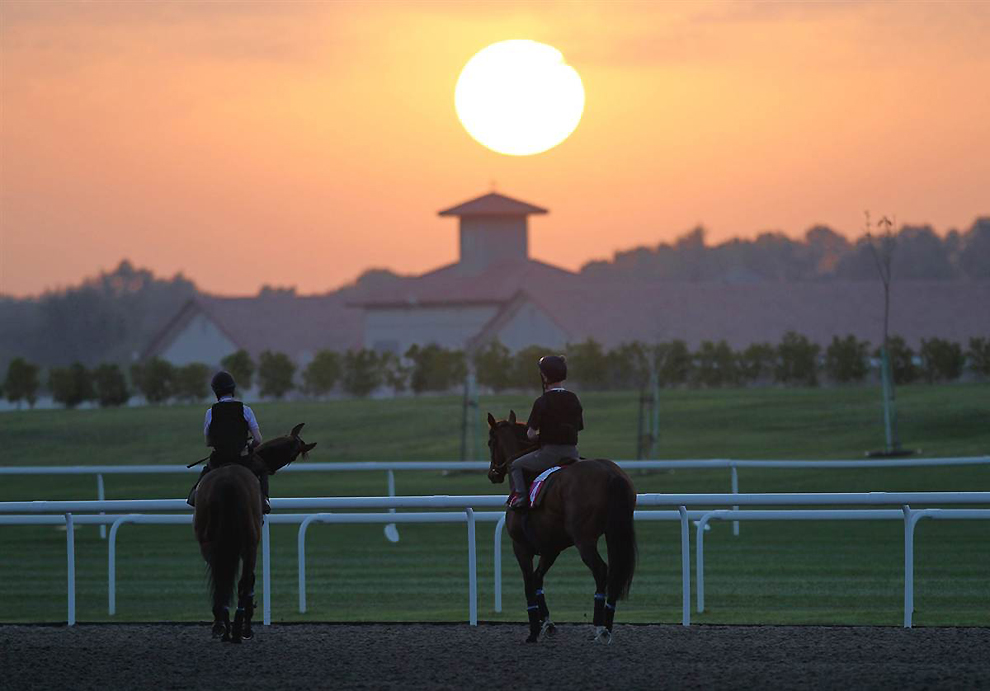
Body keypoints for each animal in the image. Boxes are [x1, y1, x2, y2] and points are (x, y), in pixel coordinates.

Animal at [194, 422, 318, 644]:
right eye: (296, 451)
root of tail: (228, 483)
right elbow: (249, 580)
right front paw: (245, 625)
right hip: (249, 540)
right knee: (244, 581)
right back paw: (238, 630)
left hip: (208, 541)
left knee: (220, 578)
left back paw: (221, 626)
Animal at [490, 410, 644, 644]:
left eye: (491, 442)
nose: (493, 474)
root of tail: (610, 474)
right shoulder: (550, 549)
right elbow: (537, 579)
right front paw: (548, 623)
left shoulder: (521, 547)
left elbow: (528, 583)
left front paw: (533, 631)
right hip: (615, 532)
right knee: (615, 572)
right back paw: (607, 623)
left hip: (584, 539)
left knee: (601, 570)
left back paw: (600, 626)